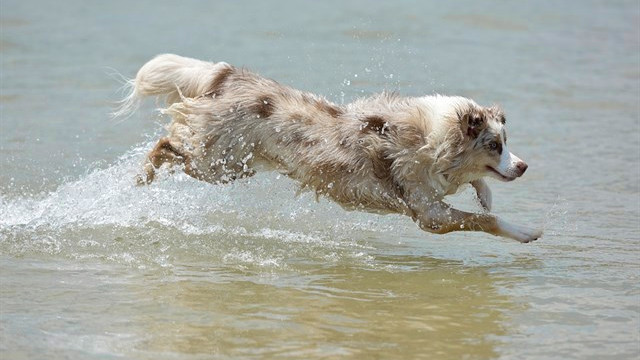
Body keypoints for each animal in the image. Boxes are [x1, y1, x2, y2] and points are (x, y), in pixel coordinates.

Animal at [117, 54, 544, 245]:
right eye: (494, 145)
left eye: (507, 143)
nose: (524, 166)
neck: (433, 139)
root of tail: (229, 75)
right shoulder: (429, 213)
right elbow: (484, 220)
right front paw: (526, 231)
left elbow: (479, 195)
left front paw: (485, 194)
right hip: (217, 163)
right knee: (166, 144)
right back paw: (140, 179)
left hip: (236, 164)